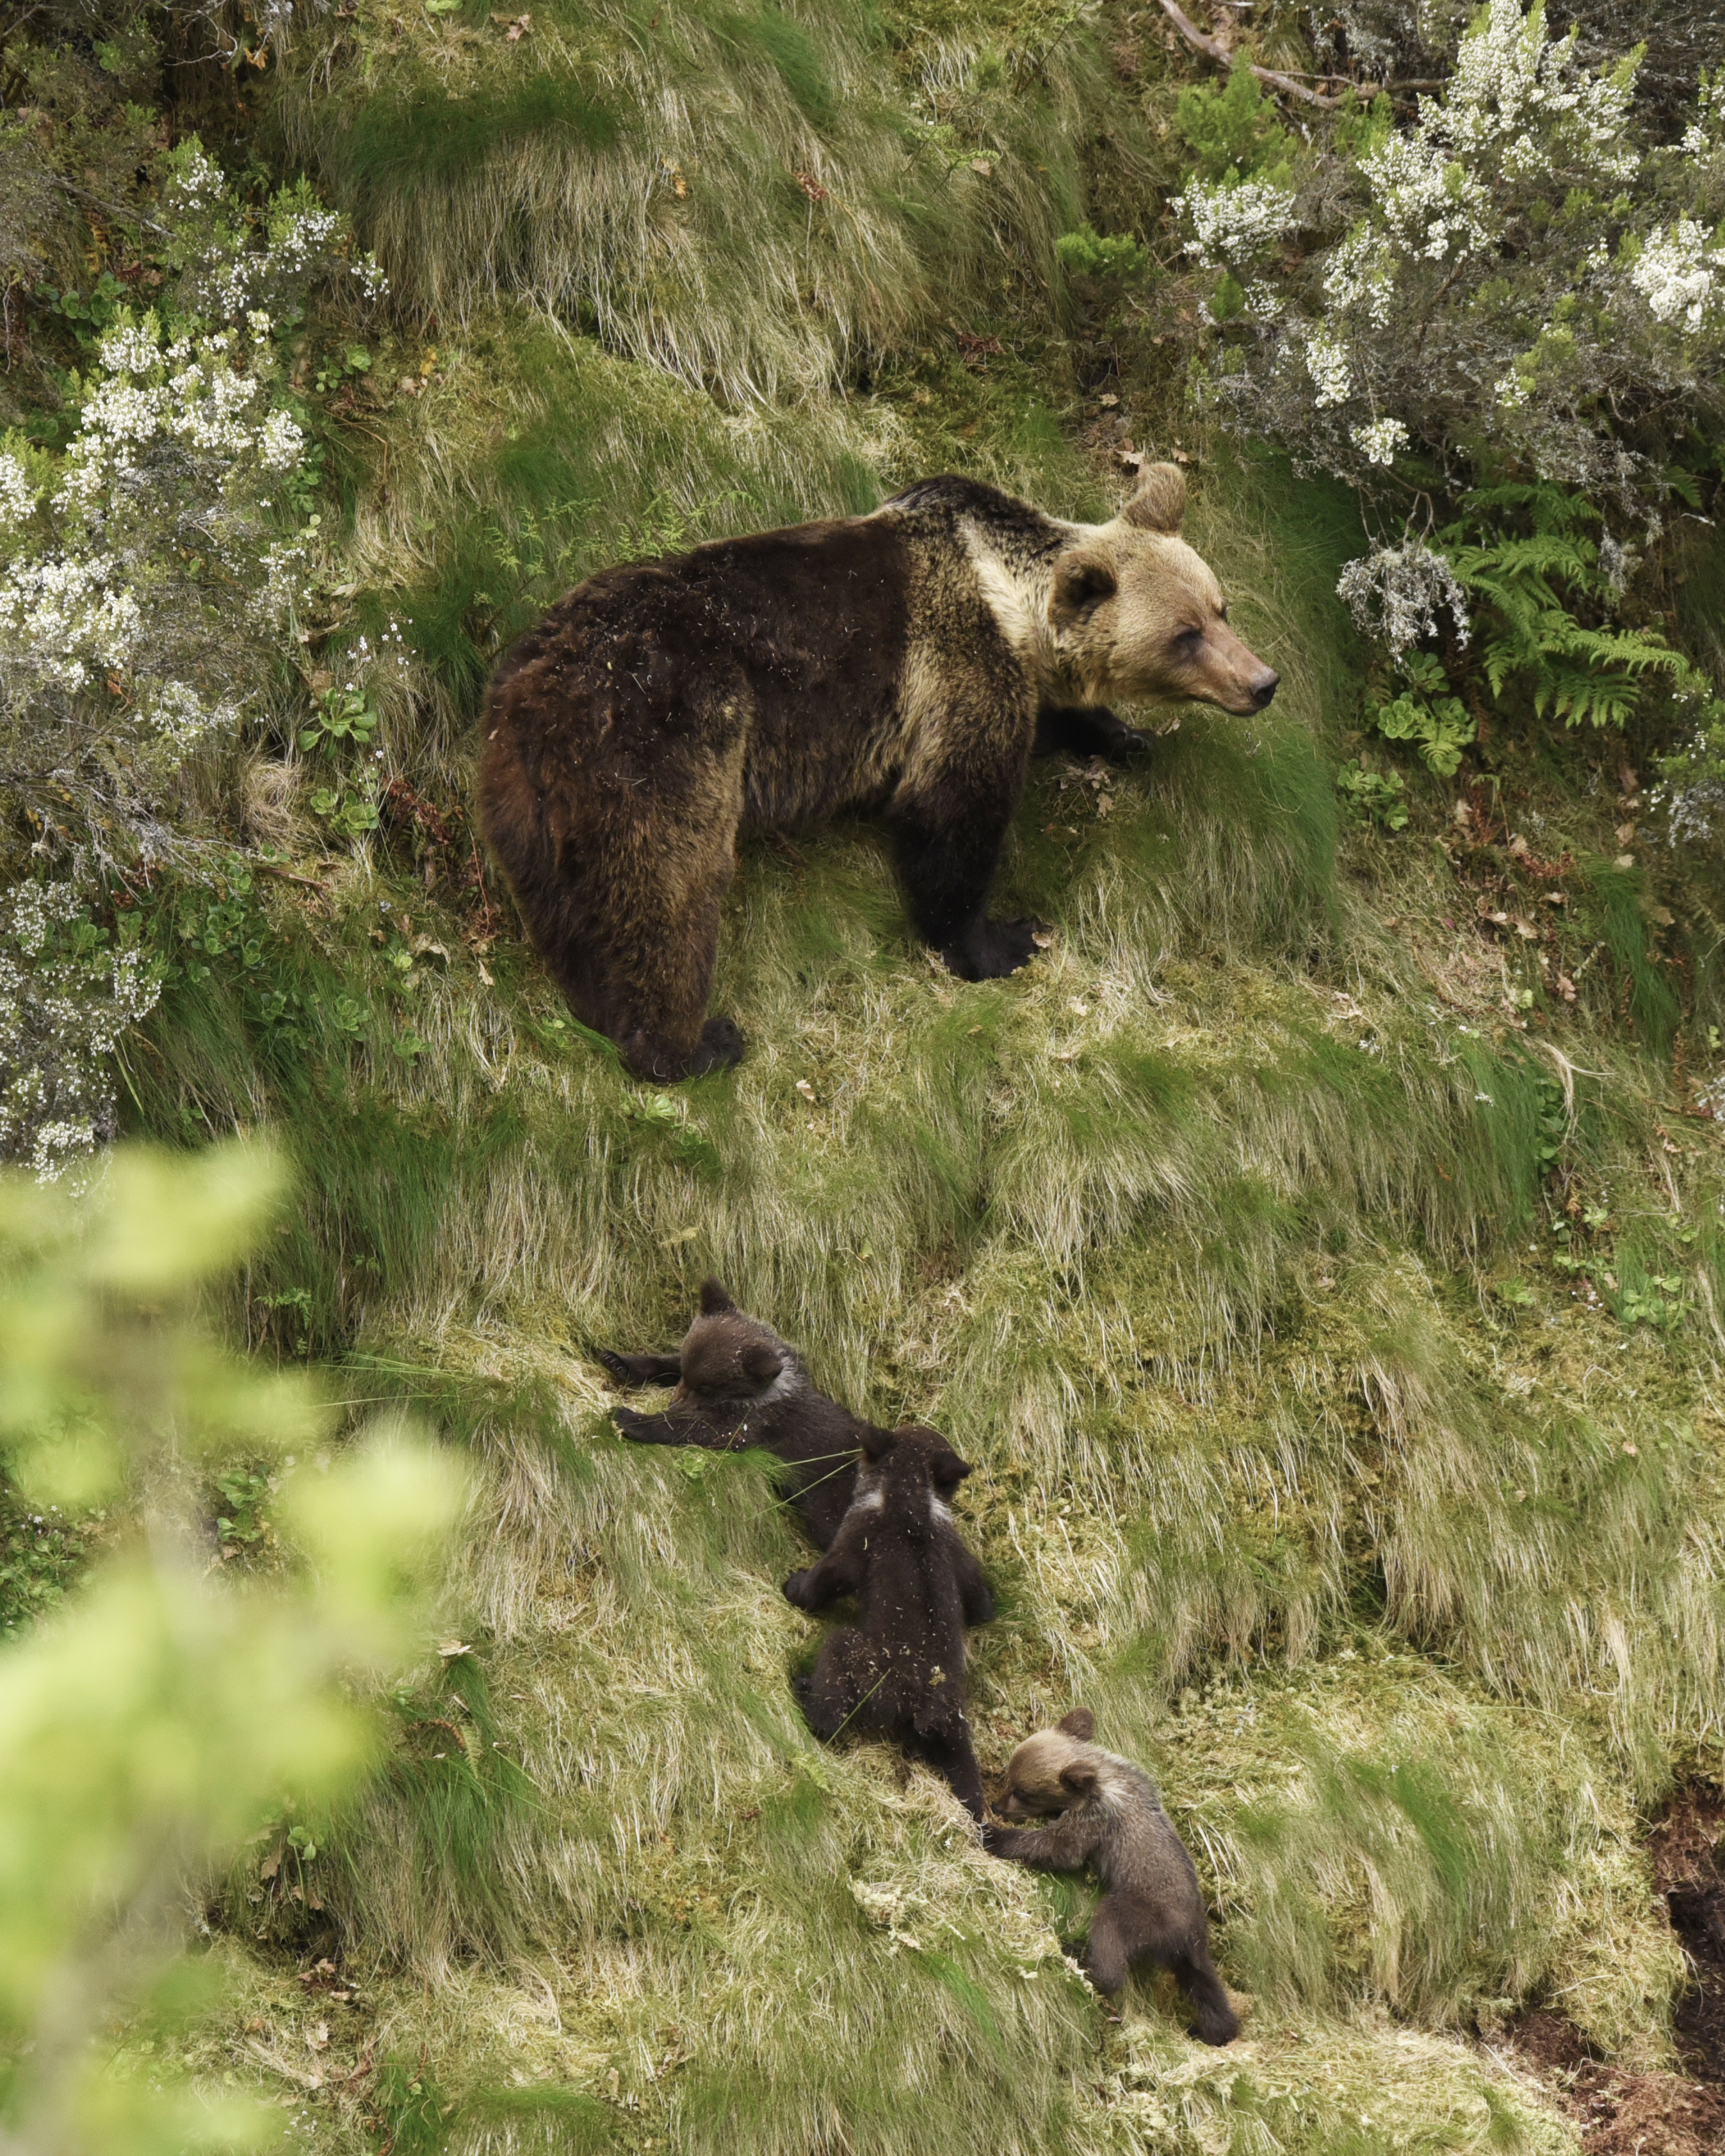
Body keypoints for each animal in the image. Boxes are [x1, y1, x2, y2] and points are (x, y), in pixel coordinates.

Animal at [478, 465, 1276, 1086]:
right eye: (1185, 634)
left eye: (1220, 607)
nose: (1263, 681)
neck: (1012, 603)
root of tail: (534, 689)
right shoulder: (958, 665)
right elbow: (951, 811)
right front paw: (1002, 939)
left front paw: (1123, 735)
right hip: (668, 737)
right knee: (667, 888)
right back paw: (691, 1043)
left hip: (529, 800)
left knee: (571, 905)